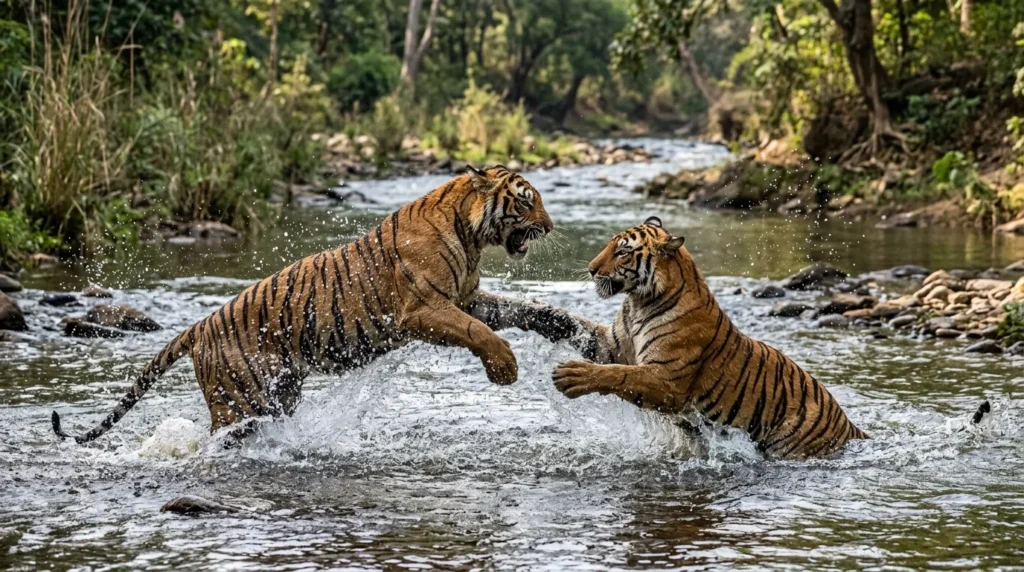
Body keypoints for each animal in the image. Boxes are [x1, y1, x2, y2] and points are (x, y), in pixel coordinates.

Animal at [51, 165, 563, 444]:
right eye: (526, 202)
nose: (552, 226)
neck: (470, 234)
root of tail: (200, 326)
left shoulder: (466, 298)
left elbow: (519, 311)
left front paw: (560, 324)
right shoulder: (423, 310)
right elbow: (482, 333)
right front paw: (506, 369)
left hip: (278, 394)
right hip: (237, 404)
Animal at [541, 217, 869, 460]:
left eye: (622, 251)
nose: (590, 269)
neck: (638, 302)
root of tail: (850, 426)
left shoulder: (667, 380)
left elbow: (618, 374)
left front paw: (571, 375)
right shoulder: (613, 346)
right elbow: (577, 327)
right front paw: (537, 313)